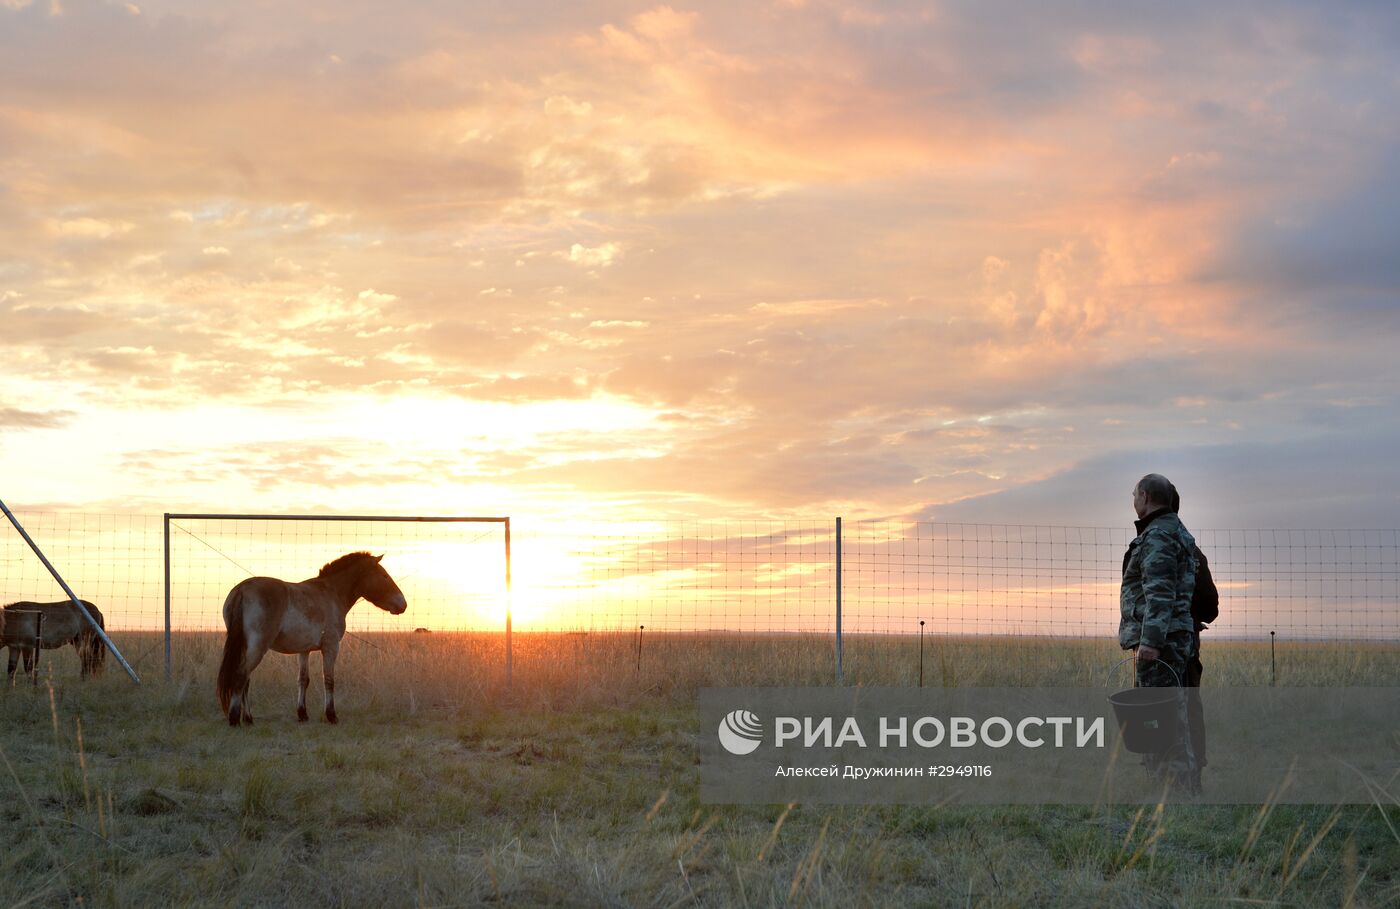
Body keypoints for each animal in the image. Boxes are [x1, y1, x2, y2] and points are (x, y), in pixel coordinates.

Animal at [215, 549, 408, 728]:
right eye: (384, 575)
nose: (403, 604)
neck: (331, 594)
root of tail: (242, 589)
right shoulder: (331, 647)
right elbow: (329, 680)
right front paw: (331, 716)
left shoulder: (304, 650)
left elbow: (303, 680)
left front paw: (302, 714)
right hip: (258, 647)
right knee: (241, 675)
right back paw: (235, 719)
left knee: (246, 680)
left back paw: (248, 718)